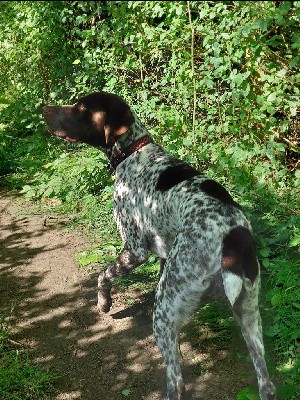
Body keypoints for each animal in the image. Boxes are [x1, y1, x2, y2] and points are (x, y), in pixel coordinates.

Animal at [42, 93, 276, 400]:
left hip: (165, 312)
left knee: (176, 380)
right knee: (266, 381)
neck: (134, 152)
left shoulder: (134, 249)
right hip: (248, 313)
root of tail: (233, 236)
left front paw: (104, 303)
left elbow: (103, 275)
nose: (43, 109)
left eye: (81, 107)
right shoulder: (163, 252)